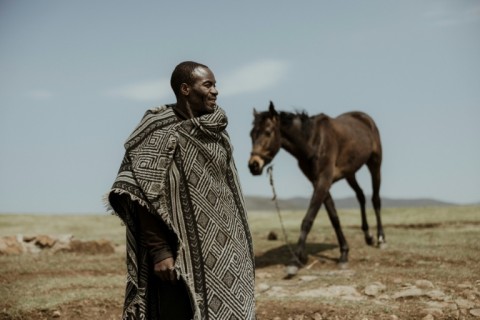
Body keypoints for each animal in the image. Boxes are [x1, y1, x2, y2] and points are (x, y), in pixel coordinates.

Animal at [249, 101, 384, 272]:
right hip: (350, 173)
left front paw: (295, 261)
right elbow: (334, 217)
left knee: (375, 199)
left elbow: (308, 219)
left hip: (375, 164)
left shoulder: (323, 180)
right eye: (251, 134)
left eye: (267, 132)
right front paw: (344, 253)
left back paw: (380, 239)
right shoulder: (317, 182)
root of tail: (365, 118)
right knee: (360, 195)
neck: (312, 142)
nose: (253, 165)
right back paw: (368, 236)